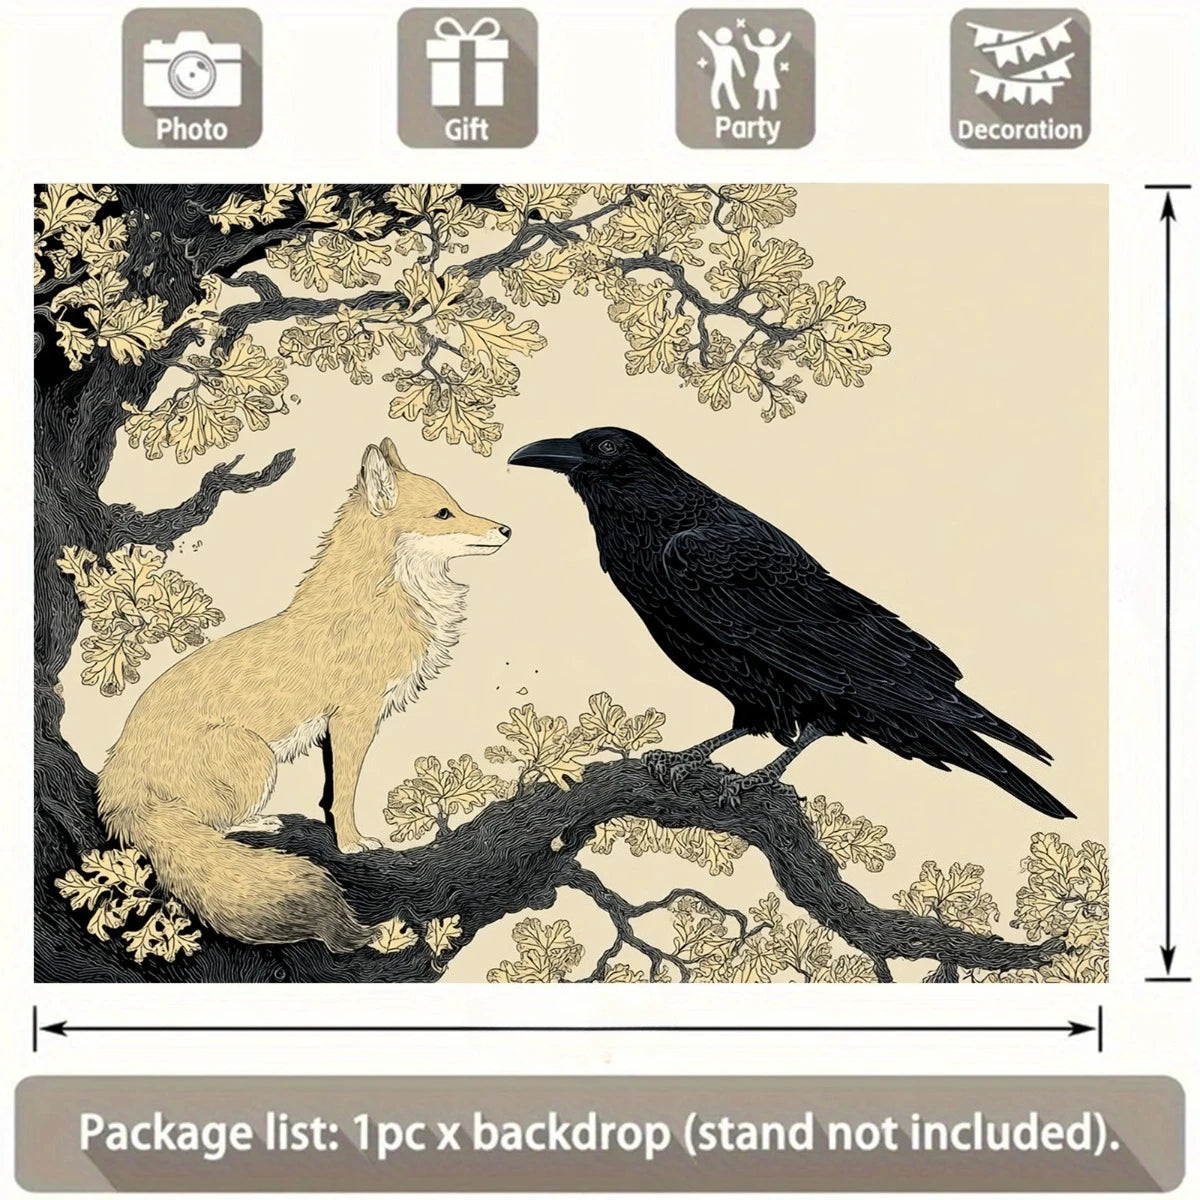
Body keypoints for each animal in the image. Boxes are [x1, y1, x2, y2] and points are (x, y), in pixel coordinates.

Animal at [97, 438, 511, 952]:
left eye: (456, 505)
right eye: (443, 513)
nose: (506, 529)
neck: (383, 600)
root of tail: (118, 776)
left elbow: (334, 790)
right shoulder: (353, 718)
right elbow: (343, 793)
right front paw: (352, 843)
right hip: (255, 756)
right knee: (208, 825)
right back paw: (258, 822)